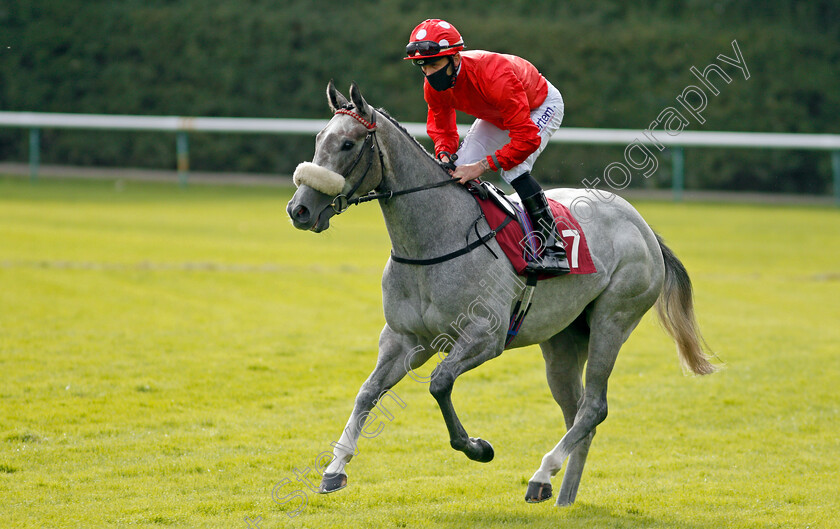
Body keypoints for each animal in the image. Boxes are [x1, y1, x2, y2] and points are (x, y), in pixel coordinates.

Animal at [288, 80, 716, 506]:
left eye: (348, 144)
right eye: (319, 138)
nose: (299, 209)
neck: (434, 239)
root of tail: (641, 224)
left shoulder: (485, 336)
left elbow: (439, 383)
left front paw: (478, 447)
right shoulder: (404, 338)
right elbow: (367, 392)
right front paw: (334, 469)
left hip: (613, 320)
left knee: (594, 407)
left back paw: (542, 474)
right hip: (562, 340)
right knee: (577, 411)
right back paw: (561, 494)